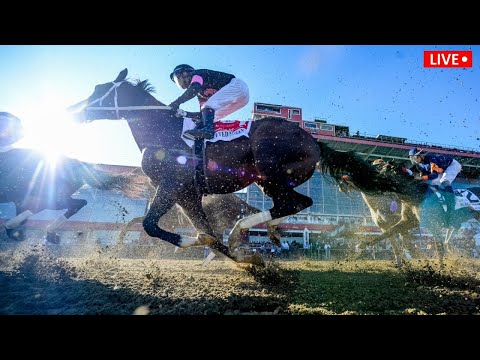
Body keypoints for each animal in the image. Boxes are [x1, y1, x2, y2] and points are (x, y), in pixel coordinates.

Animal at [68, 69, 322, 262]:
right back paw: (268, 232)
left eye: (99, 90)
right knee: (288, 205)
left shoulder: (171, 185)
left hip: (272, 174)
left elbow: (150, 225)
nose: (74, 111)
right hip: (266, 181)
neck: (162, 131)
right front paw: (242, 258)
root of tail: (313, 140)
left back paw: (240, 229)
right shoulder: (186, 194)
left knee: (296, 203)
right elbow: (208, 234)